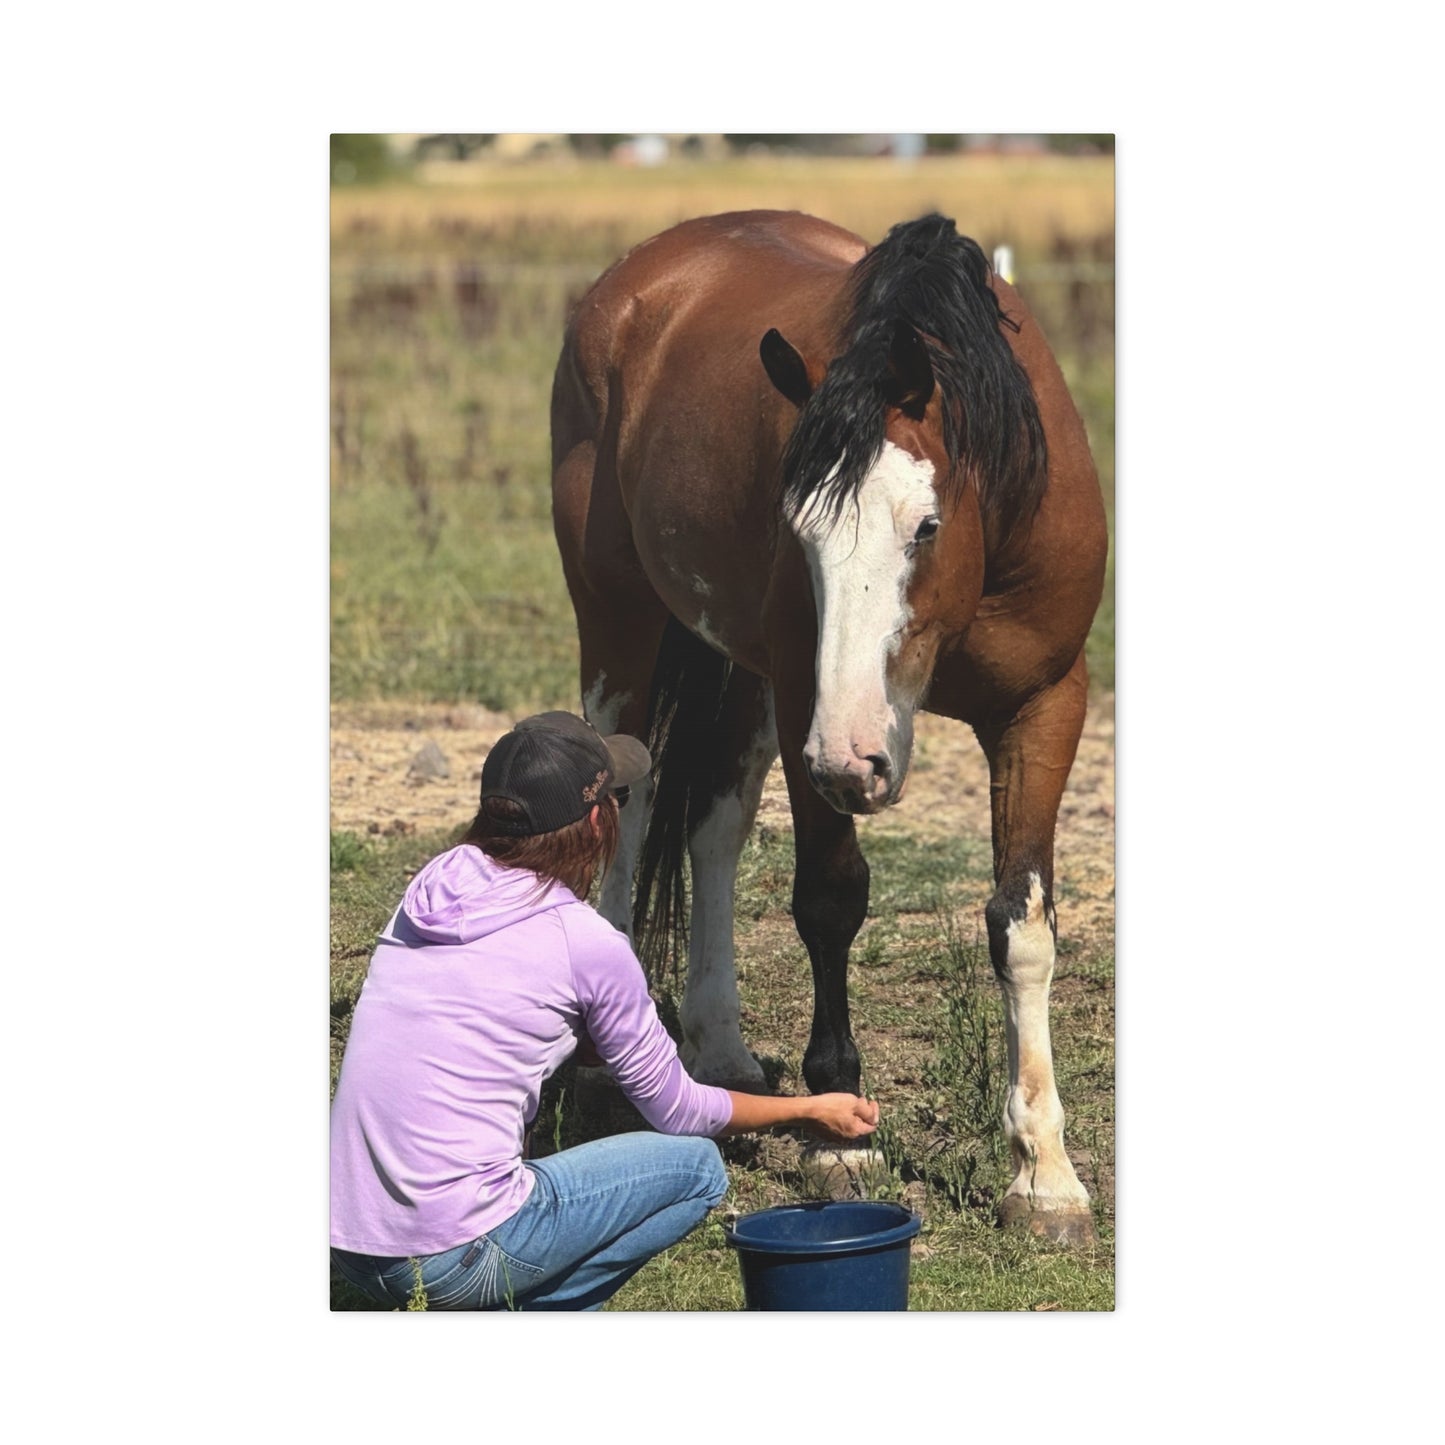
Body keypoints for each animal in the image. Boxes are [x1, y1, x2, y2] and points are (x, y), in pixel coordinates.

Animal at [550, 210, 1107, 1243]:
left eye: (925, 526)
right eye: (800, 529)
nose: (856, 762)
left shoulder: (1043, 706)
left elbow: (1021, 926)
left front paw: (1043, 1175)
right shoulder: (809, 709)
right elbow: (828, 899)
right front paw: (838, 1133)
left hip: (742, 676)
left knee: (715, 827)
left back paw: (719, 1050)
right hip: (622, 622)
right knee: (628, 805)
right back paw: (607, 1052)